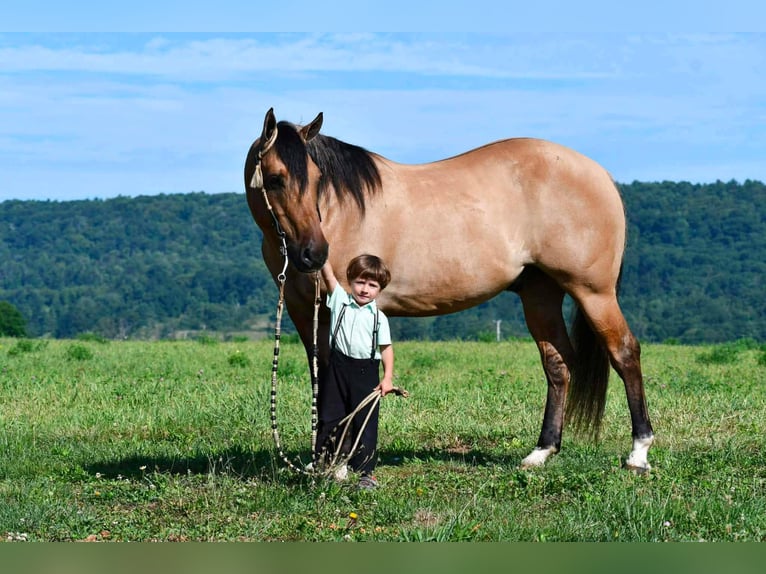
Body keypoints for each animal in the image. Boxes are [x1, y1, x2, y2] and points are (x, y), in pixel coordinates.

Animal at [244, 108, 654, 472]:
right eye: (276, 178)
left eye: (317, 178)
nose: (314, 254)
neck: (338, 210)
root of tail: (599, 174)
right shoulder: (302, 310)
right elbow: (322, 375)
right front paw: (323, 459)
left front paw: (340, 462)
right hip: (541, 296)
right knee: (558, 364)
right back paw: (541, 452)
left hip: (594, 292)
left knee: (624, 352)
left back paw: (638, 453)